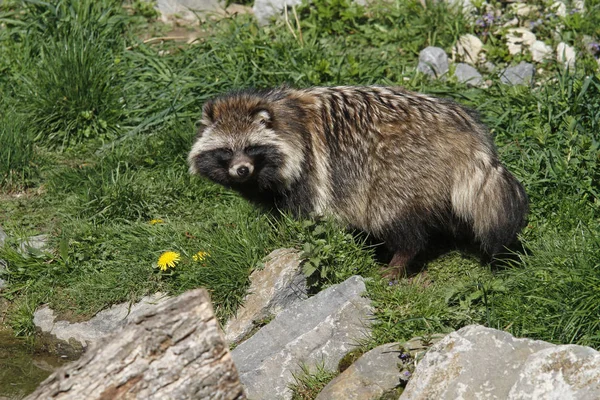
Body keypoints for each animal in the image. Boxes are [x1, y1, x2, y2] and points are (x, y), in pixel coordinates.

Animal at [189, 86, 528, 276]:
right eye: (226, 151)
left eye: (251, 148)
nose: (241, 171)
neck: (286, 118)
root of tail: (467, 132)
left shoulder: (311, 170)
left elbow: (307, 219)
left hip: (402, 166)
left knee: (391, 214)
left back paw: (400, 257)